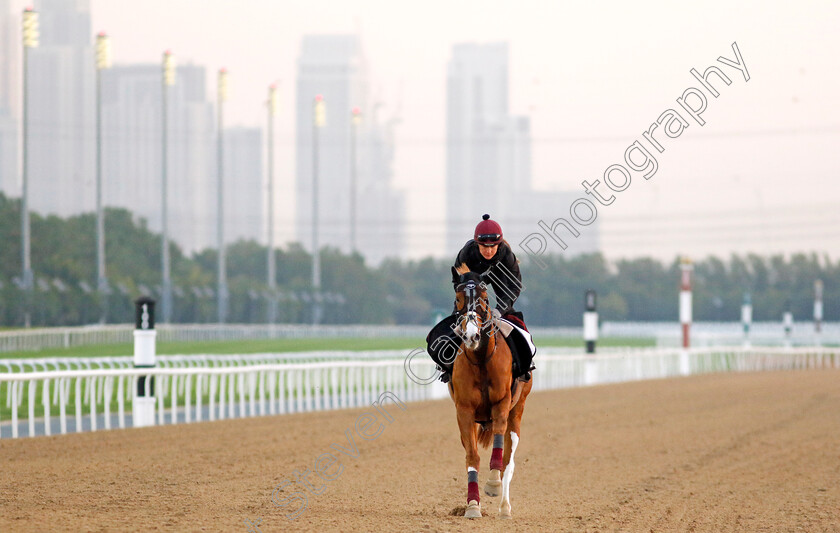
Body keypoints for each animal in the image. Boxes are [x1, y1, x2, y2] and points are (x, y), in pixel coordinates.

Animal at [446, 264, 532, 516]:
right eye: (458, 299)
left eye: (484, 299)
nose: (471, 335)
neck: (481, 360)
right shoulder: (464, 411)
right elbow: (471, 456)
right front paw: (472, 505)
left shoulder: (501, 403)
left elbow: (499, 449)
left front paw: (493, 484)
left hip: (517, 410)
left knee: (508, 460)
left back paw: (504, 506)